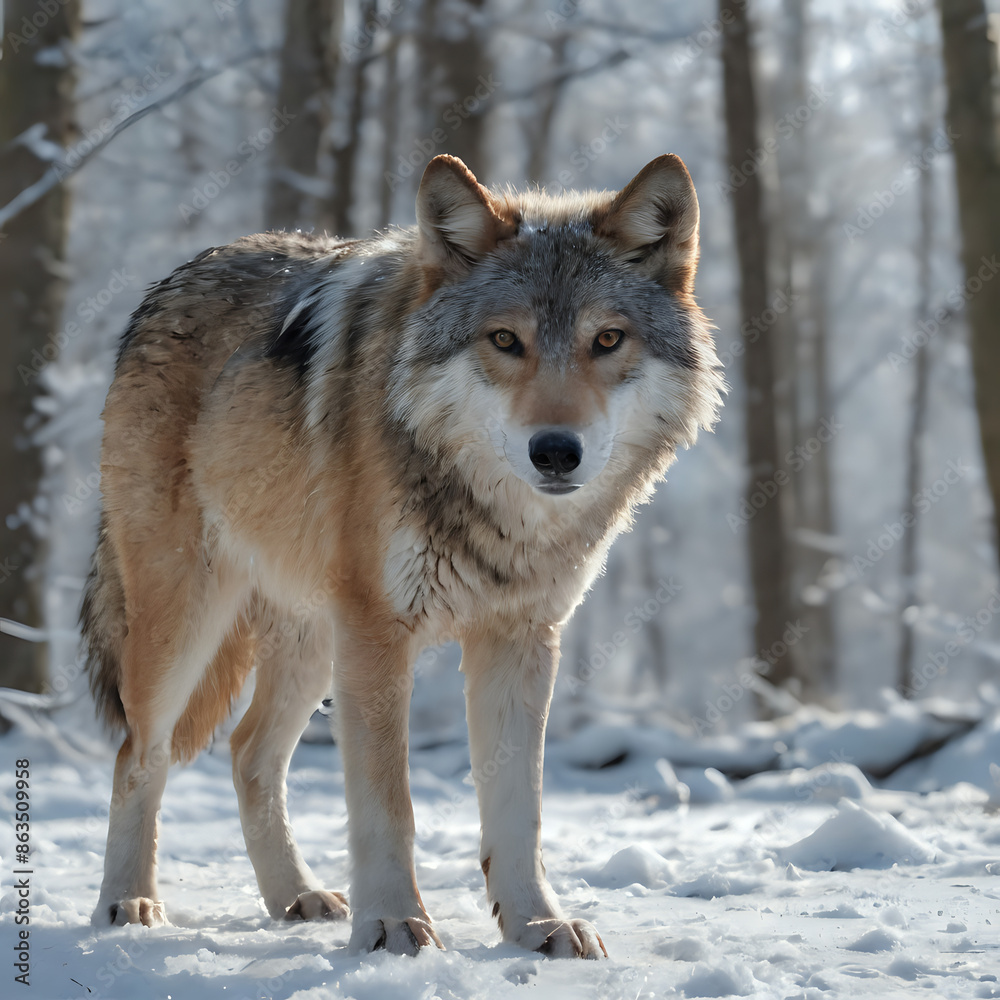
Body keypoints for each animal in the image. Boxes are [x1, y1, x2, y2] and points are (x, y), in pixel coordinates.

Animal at [81, 153, 722, 958]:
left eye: (607, 340)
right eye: (504, 340)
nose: (555, 450)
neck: (494, 516)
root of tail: (171, 280)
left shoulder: (521, 639)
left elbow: (520, 810)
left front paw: (537, 923)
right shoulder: (380, 633)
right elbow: (389, 805)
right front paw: (391, 923)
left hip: (313, 641)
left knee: (249, 753)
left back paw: (293, 896)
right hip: (189, 619)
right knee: (140, 754)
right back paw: (128, 901)